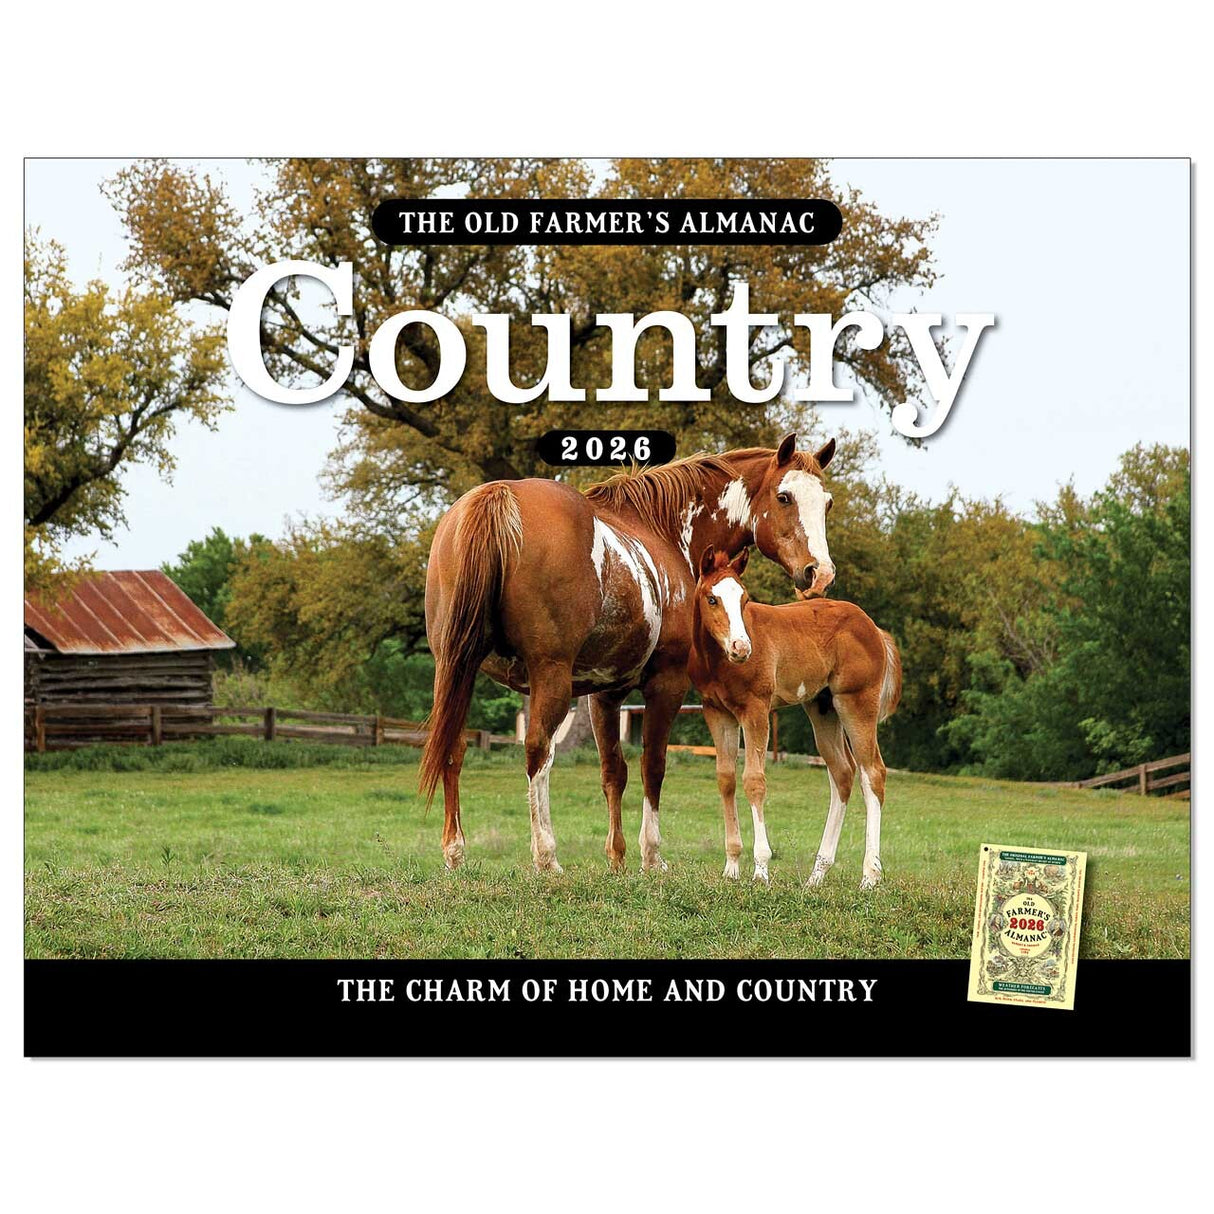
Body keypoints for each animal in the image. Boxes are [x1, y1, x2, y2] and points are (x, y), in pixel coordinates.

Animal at [420, 432, 840, 875]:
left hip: (455, 668)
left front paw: (617, 858)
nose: (820, 573)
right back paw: (547, 856)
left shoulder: (603, 694)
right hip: (548, 675)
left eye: (826, 502)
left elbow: (613, 771)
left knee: (454, 745)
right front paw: (651, 855)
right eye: (784, 497)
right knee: (537, 751)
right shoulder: (666, 683)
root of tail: (497, 496)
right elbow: (652, 765)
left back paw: (455, 851)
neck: (666, 531)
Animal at [687, 545, 902, 887]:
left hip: (856, 703)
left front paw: (761, 870)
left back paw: (870, 876)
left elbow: (754, 780)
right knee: (843, 773)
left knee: (873, 773)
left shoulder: (756, 709)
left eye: (744, 599)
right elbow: (726, 779)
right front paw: (731, 867)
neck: (717, 662)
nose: (741, 647)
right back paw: (817, 875)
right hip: (822, 708)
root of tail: (873, 628)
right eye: (712, 599)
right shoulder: (717, 712)